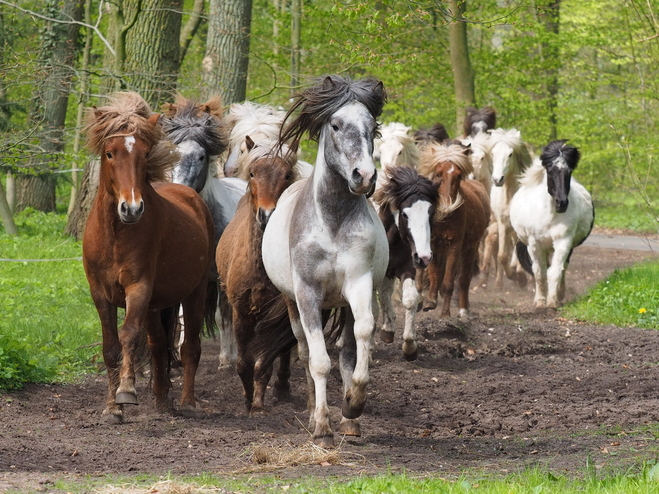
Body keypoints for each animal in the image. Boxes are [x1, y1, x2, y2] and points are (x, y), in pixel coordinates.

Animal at [79, 92, 214, 424]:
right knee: (158, 345)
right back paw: (162, 399)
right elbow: (110, 347)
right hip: (156, 306)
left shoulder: (137, 288)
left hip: (194, 293)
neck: (115, 234)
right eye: (110, 153)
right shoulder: (99, 293)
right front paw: (112, 407)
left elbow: (128, 335)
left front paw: (126, 391)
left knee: (189, 346)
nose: (131, 208)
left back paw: (187, 402)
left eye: (144, 154)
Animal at [215, 137, 300, 414]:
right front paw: (247, 400)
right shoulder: (241, 312)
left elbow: (265, 362)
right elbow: (244, 361)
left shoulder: (274, 315)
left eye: (286, 174)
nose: (267, 215)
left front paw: (259, 403)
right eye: (253, 173)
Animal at [418, 141, 490, 318]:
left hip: (470, 249)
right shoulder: (432, 245)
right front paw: (430, 301)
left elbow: (449, 282)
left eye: (458, 175)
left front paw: (445, 314)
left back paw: (464, 311)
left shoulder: (454, 247)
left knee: (464, 279)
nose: (446, 205)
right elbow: (434, 274)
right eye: (438, 174)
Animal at [510, 139, 600, 312]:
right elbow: (539, 273)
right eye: (551, 171)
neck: (550, 214)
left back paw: (559, 296)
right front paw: (540, 303)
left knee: (562, 267)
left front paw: (552, 302)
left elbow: (555, 272)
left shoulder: (563, 241)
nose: (562, 203)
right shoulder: (534, 244)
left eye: (569, 172)